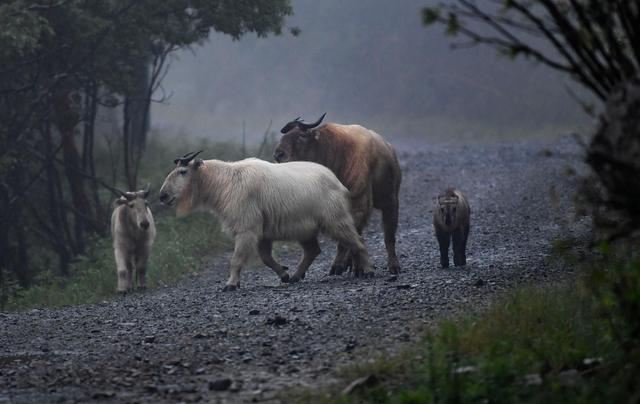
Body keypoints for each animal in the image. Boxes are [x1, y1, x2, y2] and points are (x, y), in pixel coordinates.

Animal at [157, 151, 372, 290]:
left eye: (183, 172)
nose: (163, 195)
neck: (225, 182)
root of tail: (339, 184)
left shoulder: (246, 229)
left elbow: (236, 259)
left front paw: (231, 284)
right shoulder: (262, 233)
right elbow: (266, 259)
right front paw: (284, 274)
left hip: (336, 220)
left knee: (358, 242)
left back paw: (368, 270)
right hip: (306, 229)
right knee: (313, 251)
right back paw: (296, 276)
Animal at [274, 115, 402, 276]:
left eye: (302, 135)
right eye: (285, 135)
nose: (278, 155)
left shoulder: (358, 204)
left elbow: (348, 240)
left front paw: (348, 266)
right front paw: (348, 265)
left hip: (390, 202)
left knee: (388, 236)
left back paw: (393, 266)